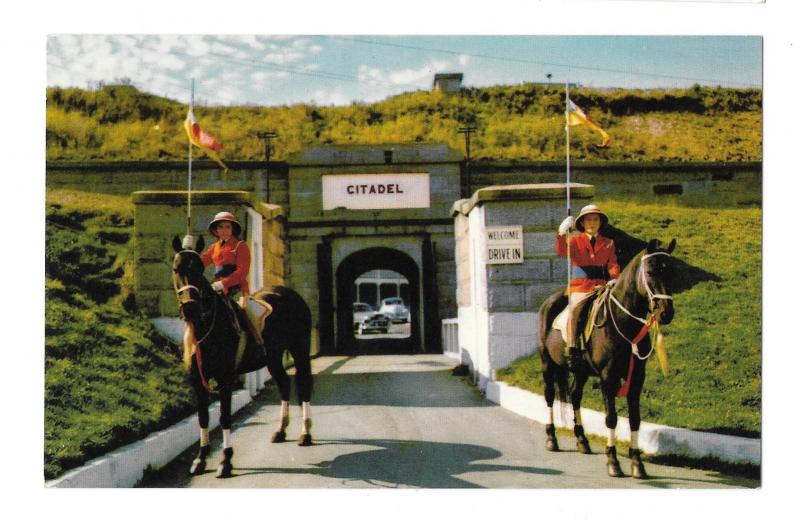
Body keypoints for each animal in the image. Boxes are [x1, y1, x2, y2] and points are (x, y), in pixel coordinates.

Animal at [170, 236, 314, 480]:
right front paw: (200, 459)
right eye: (175, 268)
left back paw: (305, 433)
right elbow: (203, 417)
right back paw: (280, 430)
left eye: (199, 270)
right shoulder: (197, 381)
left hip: (300, 349)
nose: (189, 308)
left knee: (303, 387)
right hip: (273, 358)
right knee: (284, 384)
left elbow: (224, 417)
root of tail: (291, 294)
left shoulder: (225, 378)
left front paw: (225, 461)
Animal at [536, 239, 676, 480]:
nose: (666, 312)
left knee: (575, 396)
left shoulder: (637, 377)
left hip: (580, 371)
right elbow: (611, 417)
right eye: (650, 271)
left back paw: (582, 440)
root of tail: (552, 300)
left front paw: (637, 463)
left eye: (671, 271)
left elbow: (635, 419)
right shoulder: (607, 377)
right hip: (548, 364)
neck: (625, 322)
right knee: (550, 396)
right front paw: (613, 461)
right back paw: (551, 438)